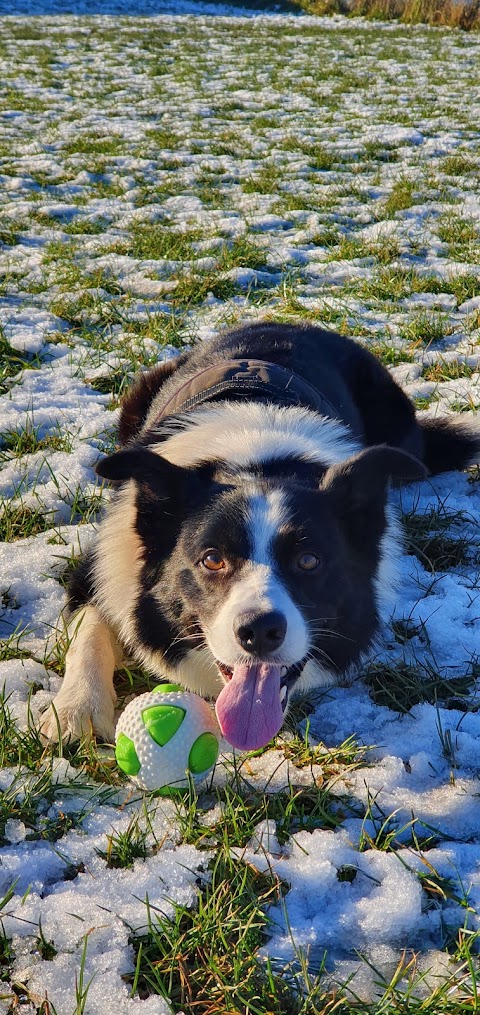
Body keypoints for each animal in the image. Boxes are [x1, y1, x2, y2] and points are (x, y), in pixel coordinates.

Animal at [38, 320, 478, 751]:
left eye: (309, 561)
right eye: (212, 559)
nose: (260, 632)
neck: (256, 461)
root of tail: (284, 323)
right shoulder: (98, 563)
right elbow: (91, 629)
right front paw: (76, 709)